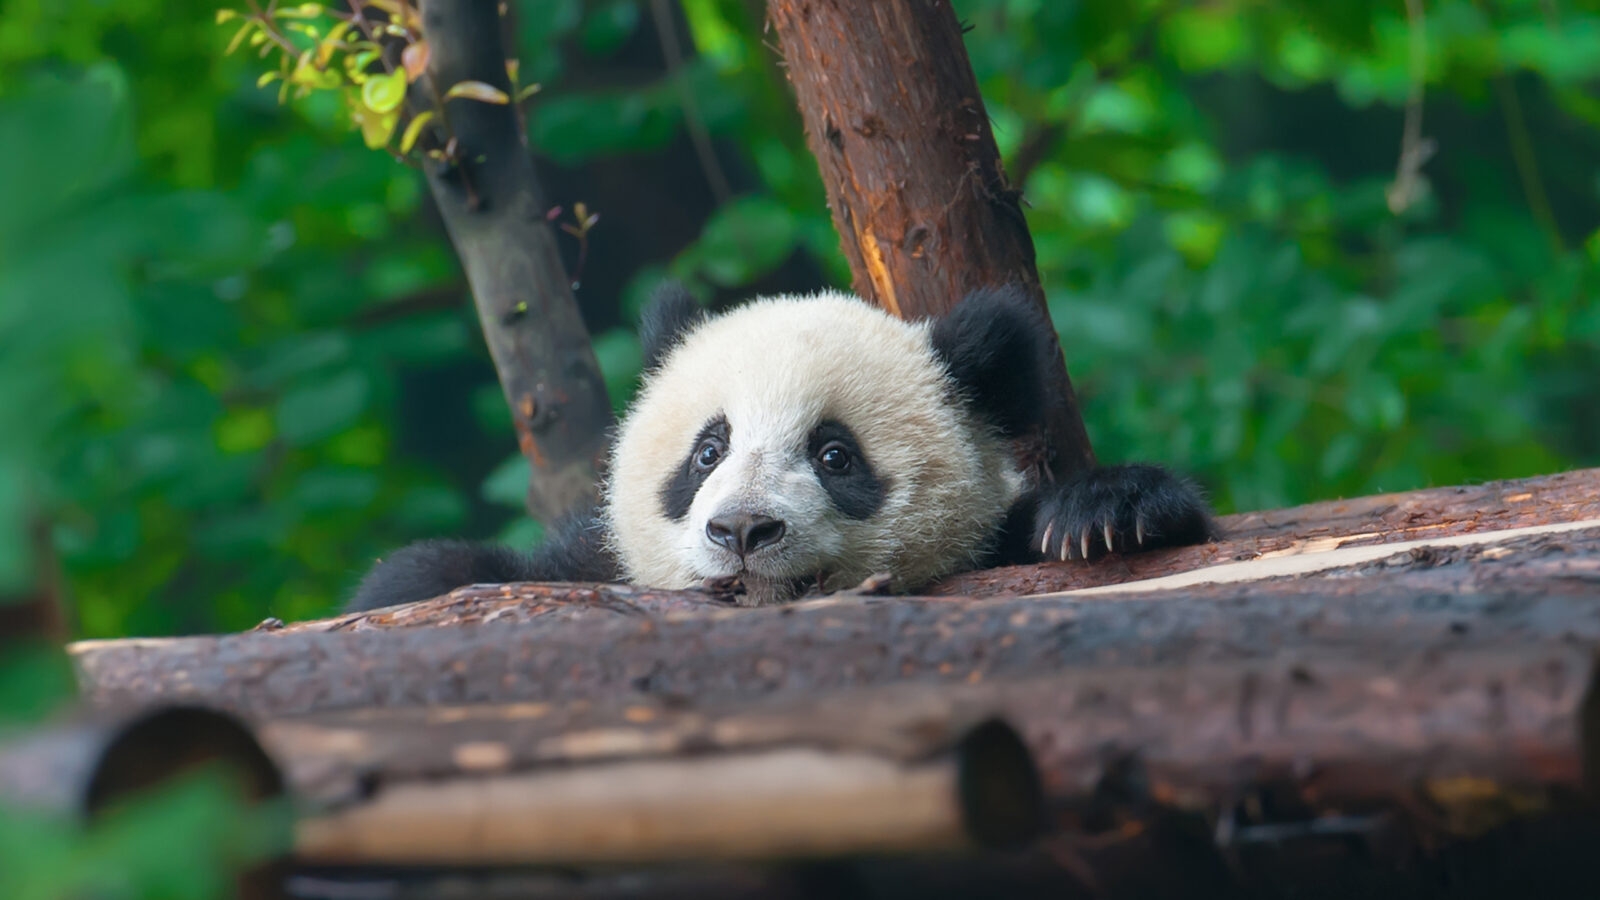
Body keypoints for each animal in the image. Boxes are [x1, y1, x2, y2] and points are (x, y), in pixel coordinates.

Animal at [346, 283, 1215, 611]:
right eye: (708, 451)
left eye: (835, 456)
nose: (741, 531)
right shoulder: (591, 561)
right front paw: (411, 582)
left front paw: (1107, 513)